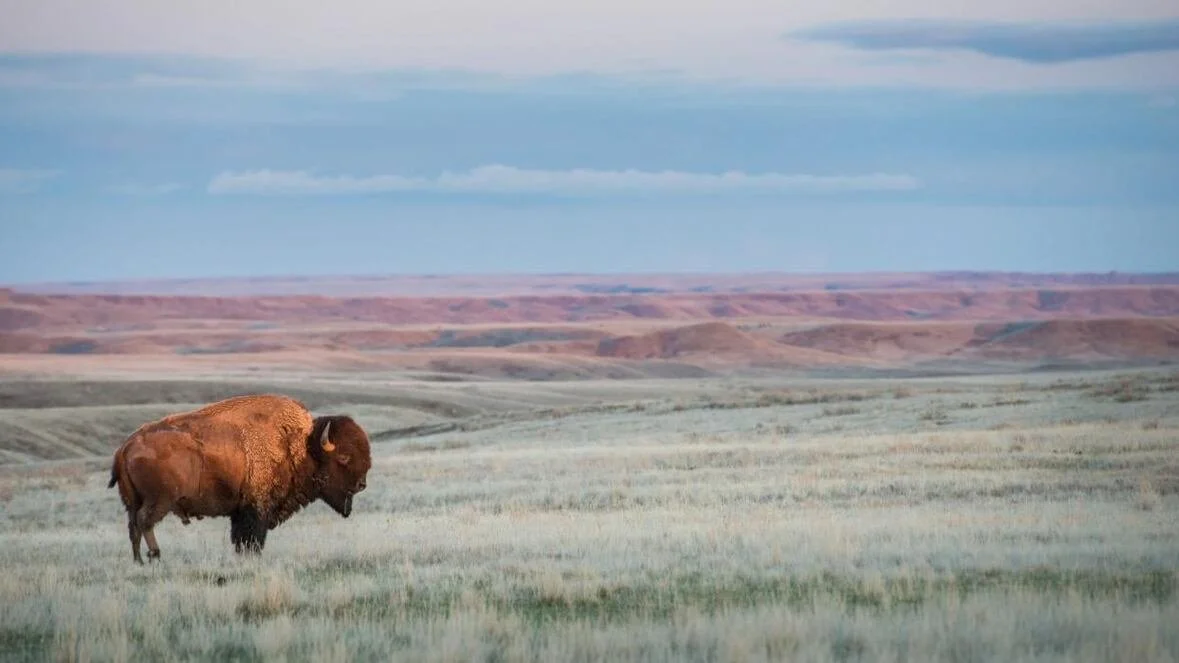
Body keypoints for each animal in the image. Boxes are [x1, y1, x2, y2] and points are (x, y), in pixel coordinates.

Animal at [108, 394, 371, 563]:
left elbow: (240, 538)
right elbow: (252, 538)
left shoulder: (240, 511)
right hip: (159, 501)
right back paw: (155, 555)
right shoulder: (256, 509)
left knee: (133, 526)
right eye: (344, 457)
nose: (362, 484)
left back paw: (139, 560)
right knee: (144, 522)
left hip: (132, 501)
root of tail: (126, 446)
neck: (301, 446)